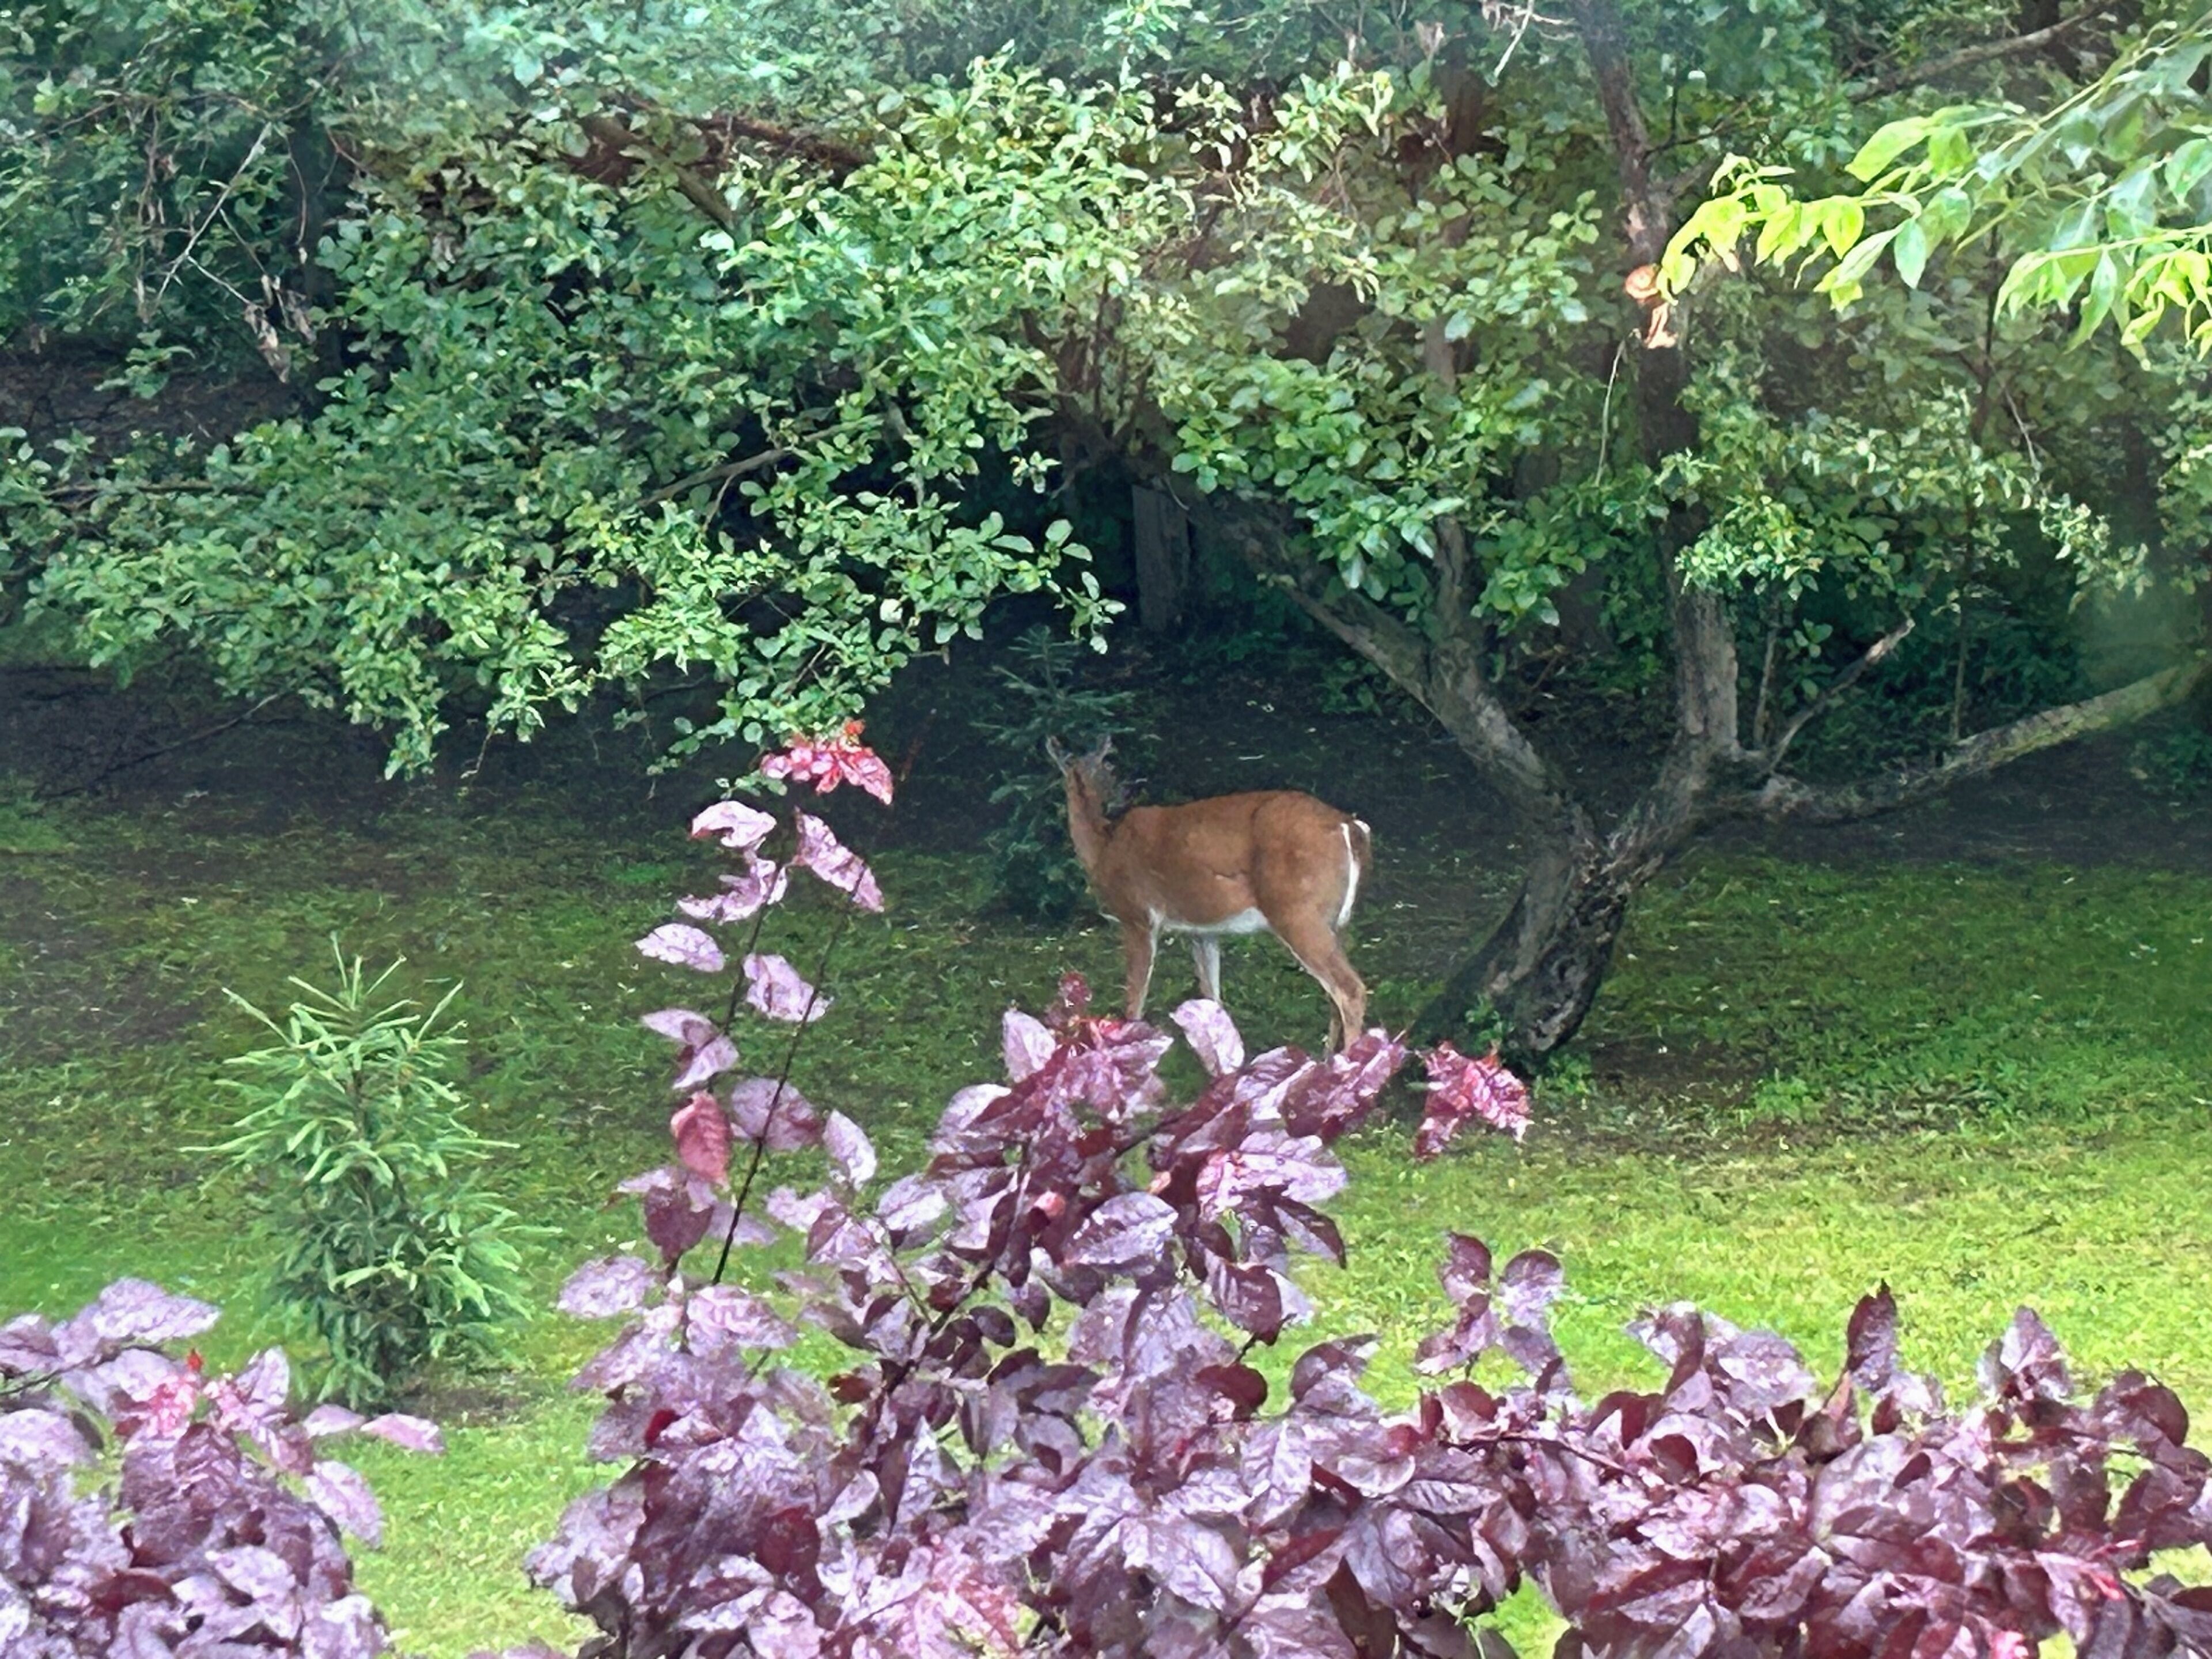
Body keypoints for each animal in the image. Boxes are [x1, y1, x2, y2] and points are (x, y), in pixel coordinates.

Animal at [1045, 735, 1370, 1052]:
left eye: (1108, 765)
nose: (1129, 788)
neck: (1103, 846)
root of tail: (1351, 826)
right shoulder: (1202, 931)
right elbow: (1212, 999)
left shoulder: (1137, 916)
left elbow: (1134, 1002)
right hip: (1337, 921)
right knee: (1336, 994)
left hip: (1298, 911)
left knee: (1350, 990)